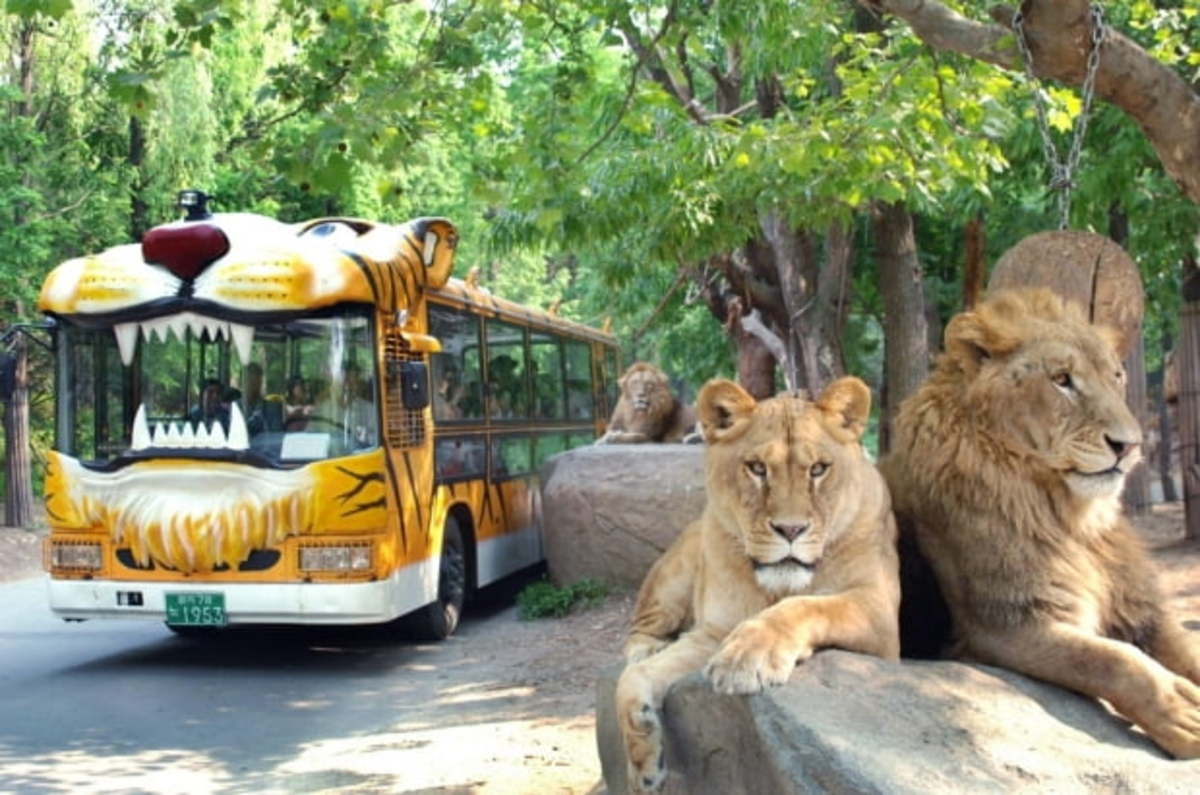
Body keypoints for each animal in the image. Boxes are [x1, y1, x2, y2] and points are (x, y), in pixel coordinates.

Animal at [619, 379, 902, 792]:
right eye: (756, 468)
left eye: (818, 469)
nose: (791, 529)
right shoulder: (713, 631)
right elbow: (633, 678)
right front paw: (642, 768)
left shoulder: (881, 616)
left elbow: (810, 605)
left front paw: (749, 655)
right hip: (673, 574)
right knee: (641, 627)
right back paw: (645, 647)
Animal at [883, 289, 1200, 763]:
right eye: (1062, 380)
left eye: (1117, 376)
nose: (1129, 446)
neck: (1070, 518)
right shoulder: (1003, 627)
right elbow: (1111, 659)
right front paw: (1184, 715)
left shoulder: (1142, 609)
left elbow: (1186, 649)